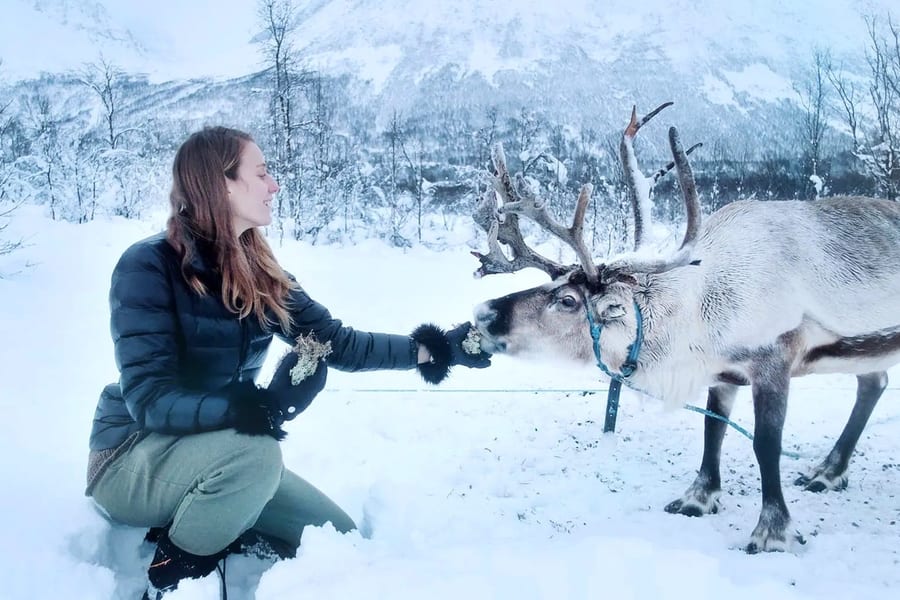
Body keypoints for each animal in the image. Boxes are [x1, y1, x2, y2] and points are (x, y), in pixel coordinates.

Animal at [470, 103, 900, 553]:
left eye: (568, 300)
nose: (483, 312)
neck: (700, 316)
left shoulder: (773, 361)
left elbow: (766, 444)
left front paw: (772, 530)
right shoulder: (723, 371)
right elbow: (713, 429)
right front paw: (698, 497)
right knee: (874, 383)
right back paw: (829, 471)